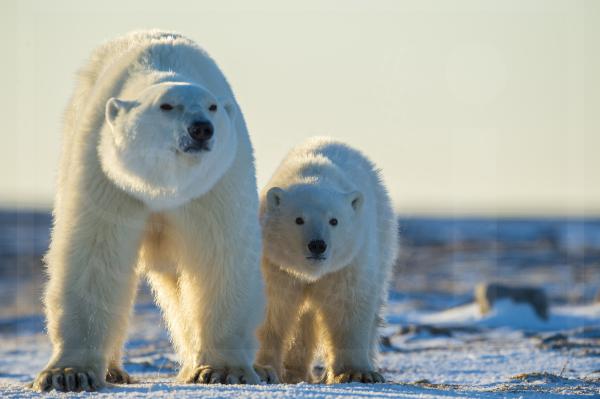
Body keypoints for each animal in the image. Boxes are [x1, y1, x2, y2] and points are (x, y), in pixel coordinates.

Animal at [31, 30, 264, 390]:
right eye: (166, 105)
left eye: (212, 107)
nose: (201, 128)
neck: (163, 187)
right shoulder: (107, 177)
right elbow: (94, 256)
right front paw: (68, 374)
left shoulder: (216, 186)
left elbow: (220, 258)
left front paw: (224, 370)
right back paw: (113, 370)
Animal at [254, 138, 398, 384]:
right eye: (299, 219)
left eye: (334, 220)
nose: (317, 245)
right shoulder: (275, 266)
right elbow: (272, 309)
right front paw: (263, 369)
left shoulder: (348, 264)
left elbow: (347, 306)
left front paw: (356, 372)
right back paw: (294, 372)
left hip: (383, 242)